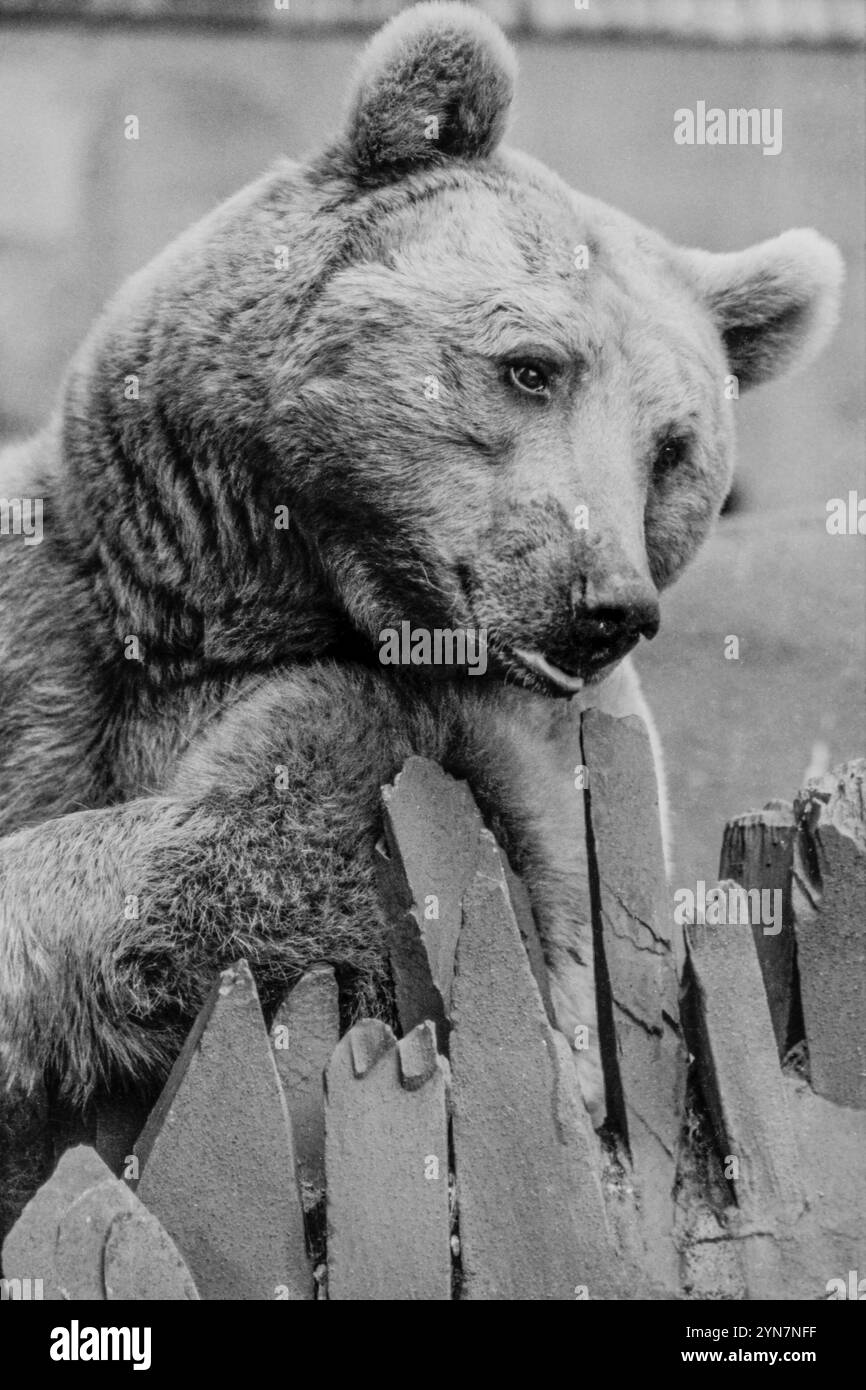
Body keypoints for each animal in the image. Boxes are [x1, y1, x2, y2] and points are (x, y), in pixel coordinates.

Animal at [0, 2, 843, 1135]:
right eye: (530, 368)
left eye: (672, 448)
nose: (606, 604)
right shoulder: (59, 622)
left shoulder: (462, 755)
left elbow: (261, 861)